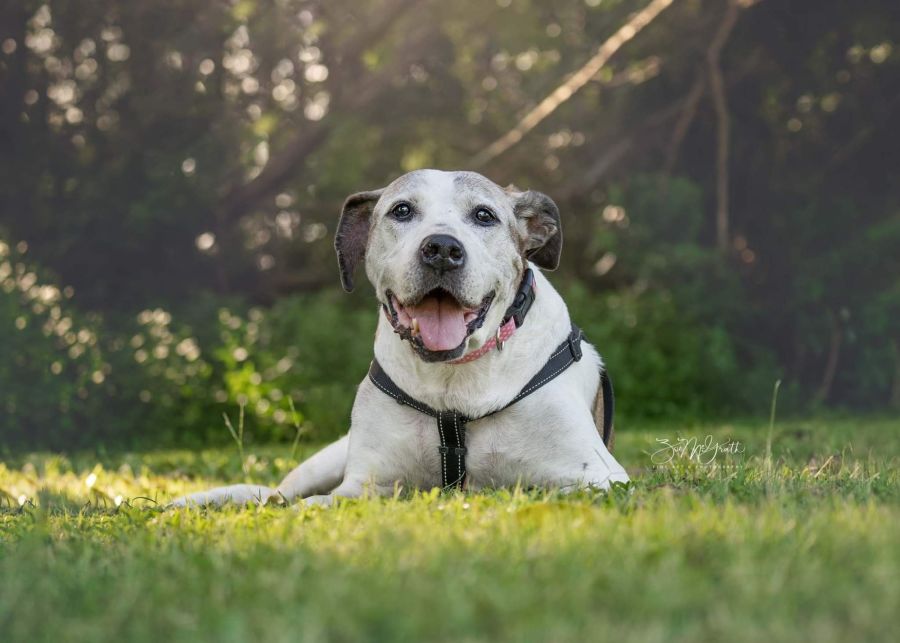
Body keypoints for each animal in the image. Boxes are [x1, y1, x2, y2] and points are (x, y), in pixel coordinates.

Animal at [173, 169, 628, 507]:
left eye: (484, 216)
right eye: (402, 210)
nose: (442, 248)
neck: (452, 377)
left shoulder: (599, 476)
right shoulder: (361, 484)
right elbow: (322, 502)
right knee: (276, 494)